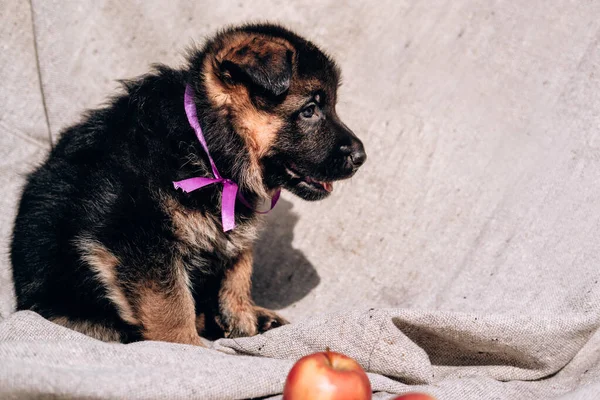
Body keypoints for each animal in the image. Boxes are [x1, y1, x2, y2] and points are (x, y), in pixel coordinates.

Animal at [10, 23, 366, 346]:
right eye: (310, 110)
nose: (361, 156)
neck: (203, 145)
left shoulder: (232, 229)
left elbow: (239, 271)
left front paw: (242, 319)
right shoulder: (140, 241)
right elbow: (170, 304)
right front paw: (186, 346)